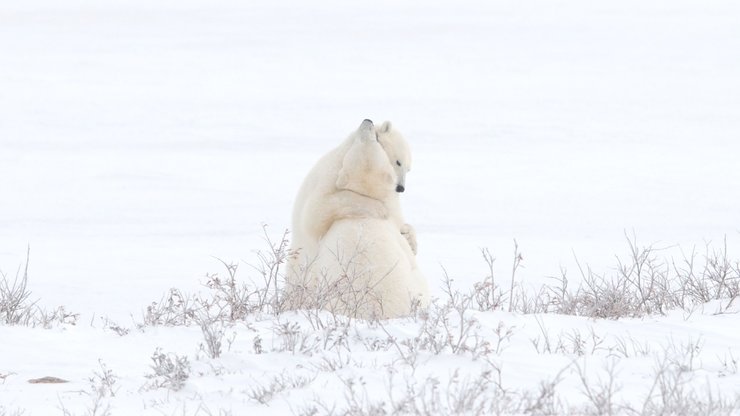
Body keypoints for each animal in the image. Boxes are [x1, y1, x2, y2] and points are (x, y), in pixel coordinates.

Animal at [288, 120, 430, 318]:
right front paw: (380, 210)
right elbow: (316, 212)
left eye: (407, 168)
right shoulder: (327, 178)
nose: (367, 121)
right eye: (398, 162)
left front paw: (410, 236)